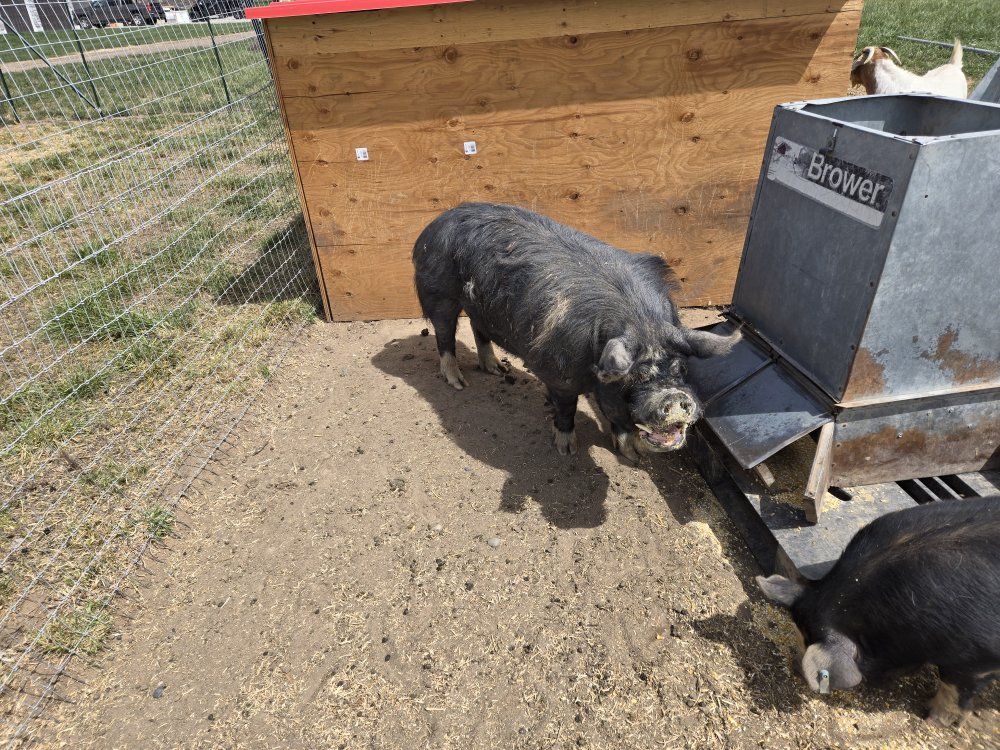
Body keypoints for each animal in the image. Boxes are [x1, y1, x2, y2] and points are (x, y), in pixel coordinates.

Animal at [412, 202, 740, 460]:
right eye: (634, 376)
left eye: (681, 368)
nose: (674, 397)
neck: (640, 322)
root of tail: (436, 223)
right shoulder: (560, 376)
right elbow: (567, 409)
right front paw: (566, 450)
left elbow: (616, 417)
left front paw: (631, 456)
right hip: (439, 292)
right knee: (445, 335)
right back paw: (458, 383)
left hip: (479, 304)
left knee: (477, 328)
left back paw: (496, 369)